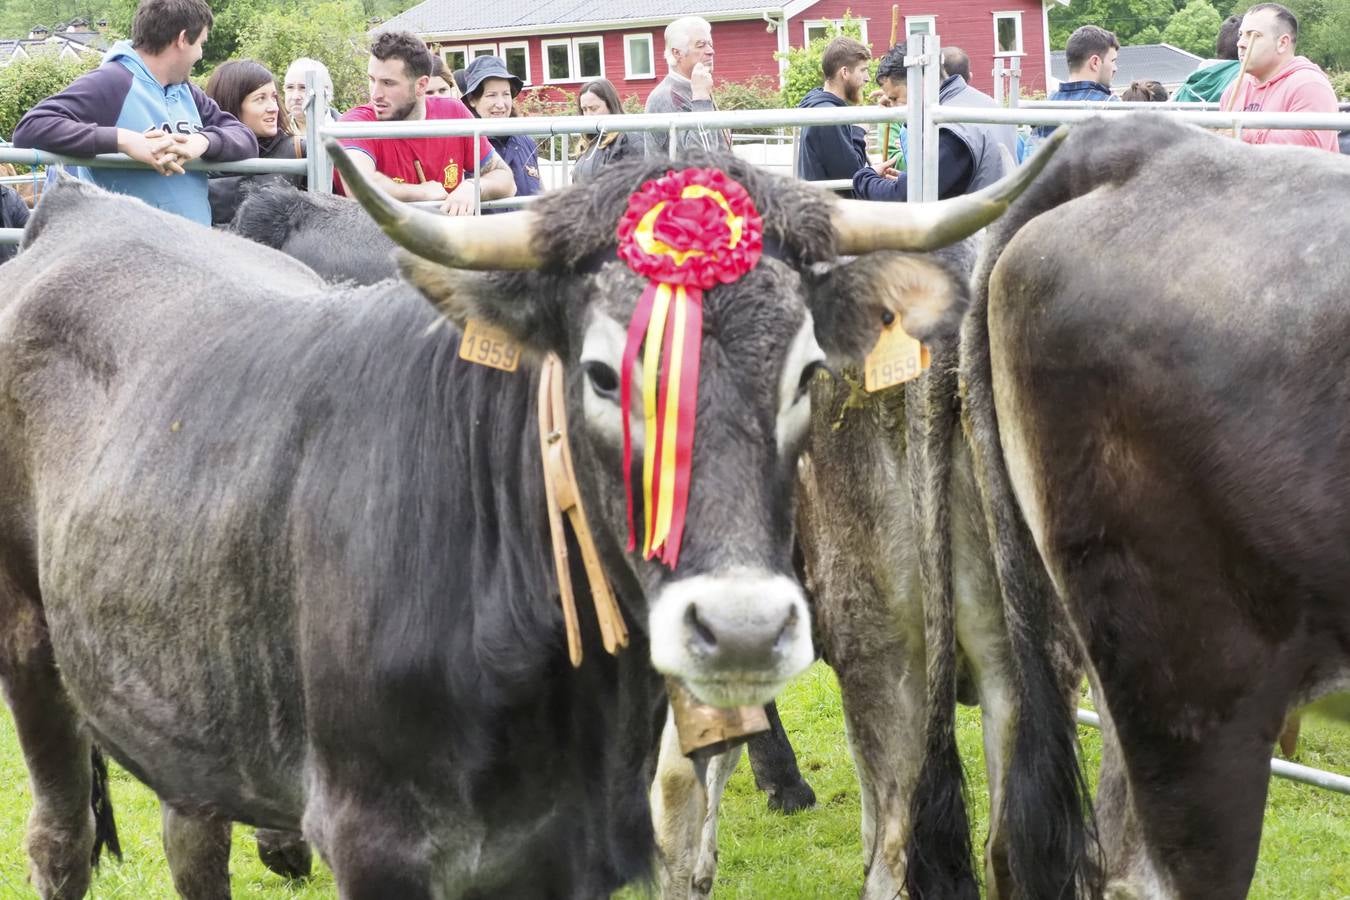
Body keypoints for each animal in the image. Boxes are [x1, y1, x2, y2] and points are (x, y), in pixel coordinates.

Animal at [0, 138, 1042, 895]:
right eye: (601, 373)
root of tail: (78, 208)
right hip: (28, 646)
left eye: (807, 374)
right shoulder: (374, 841)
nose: (742, 627)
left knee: (192, 834)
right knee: (60, 837)